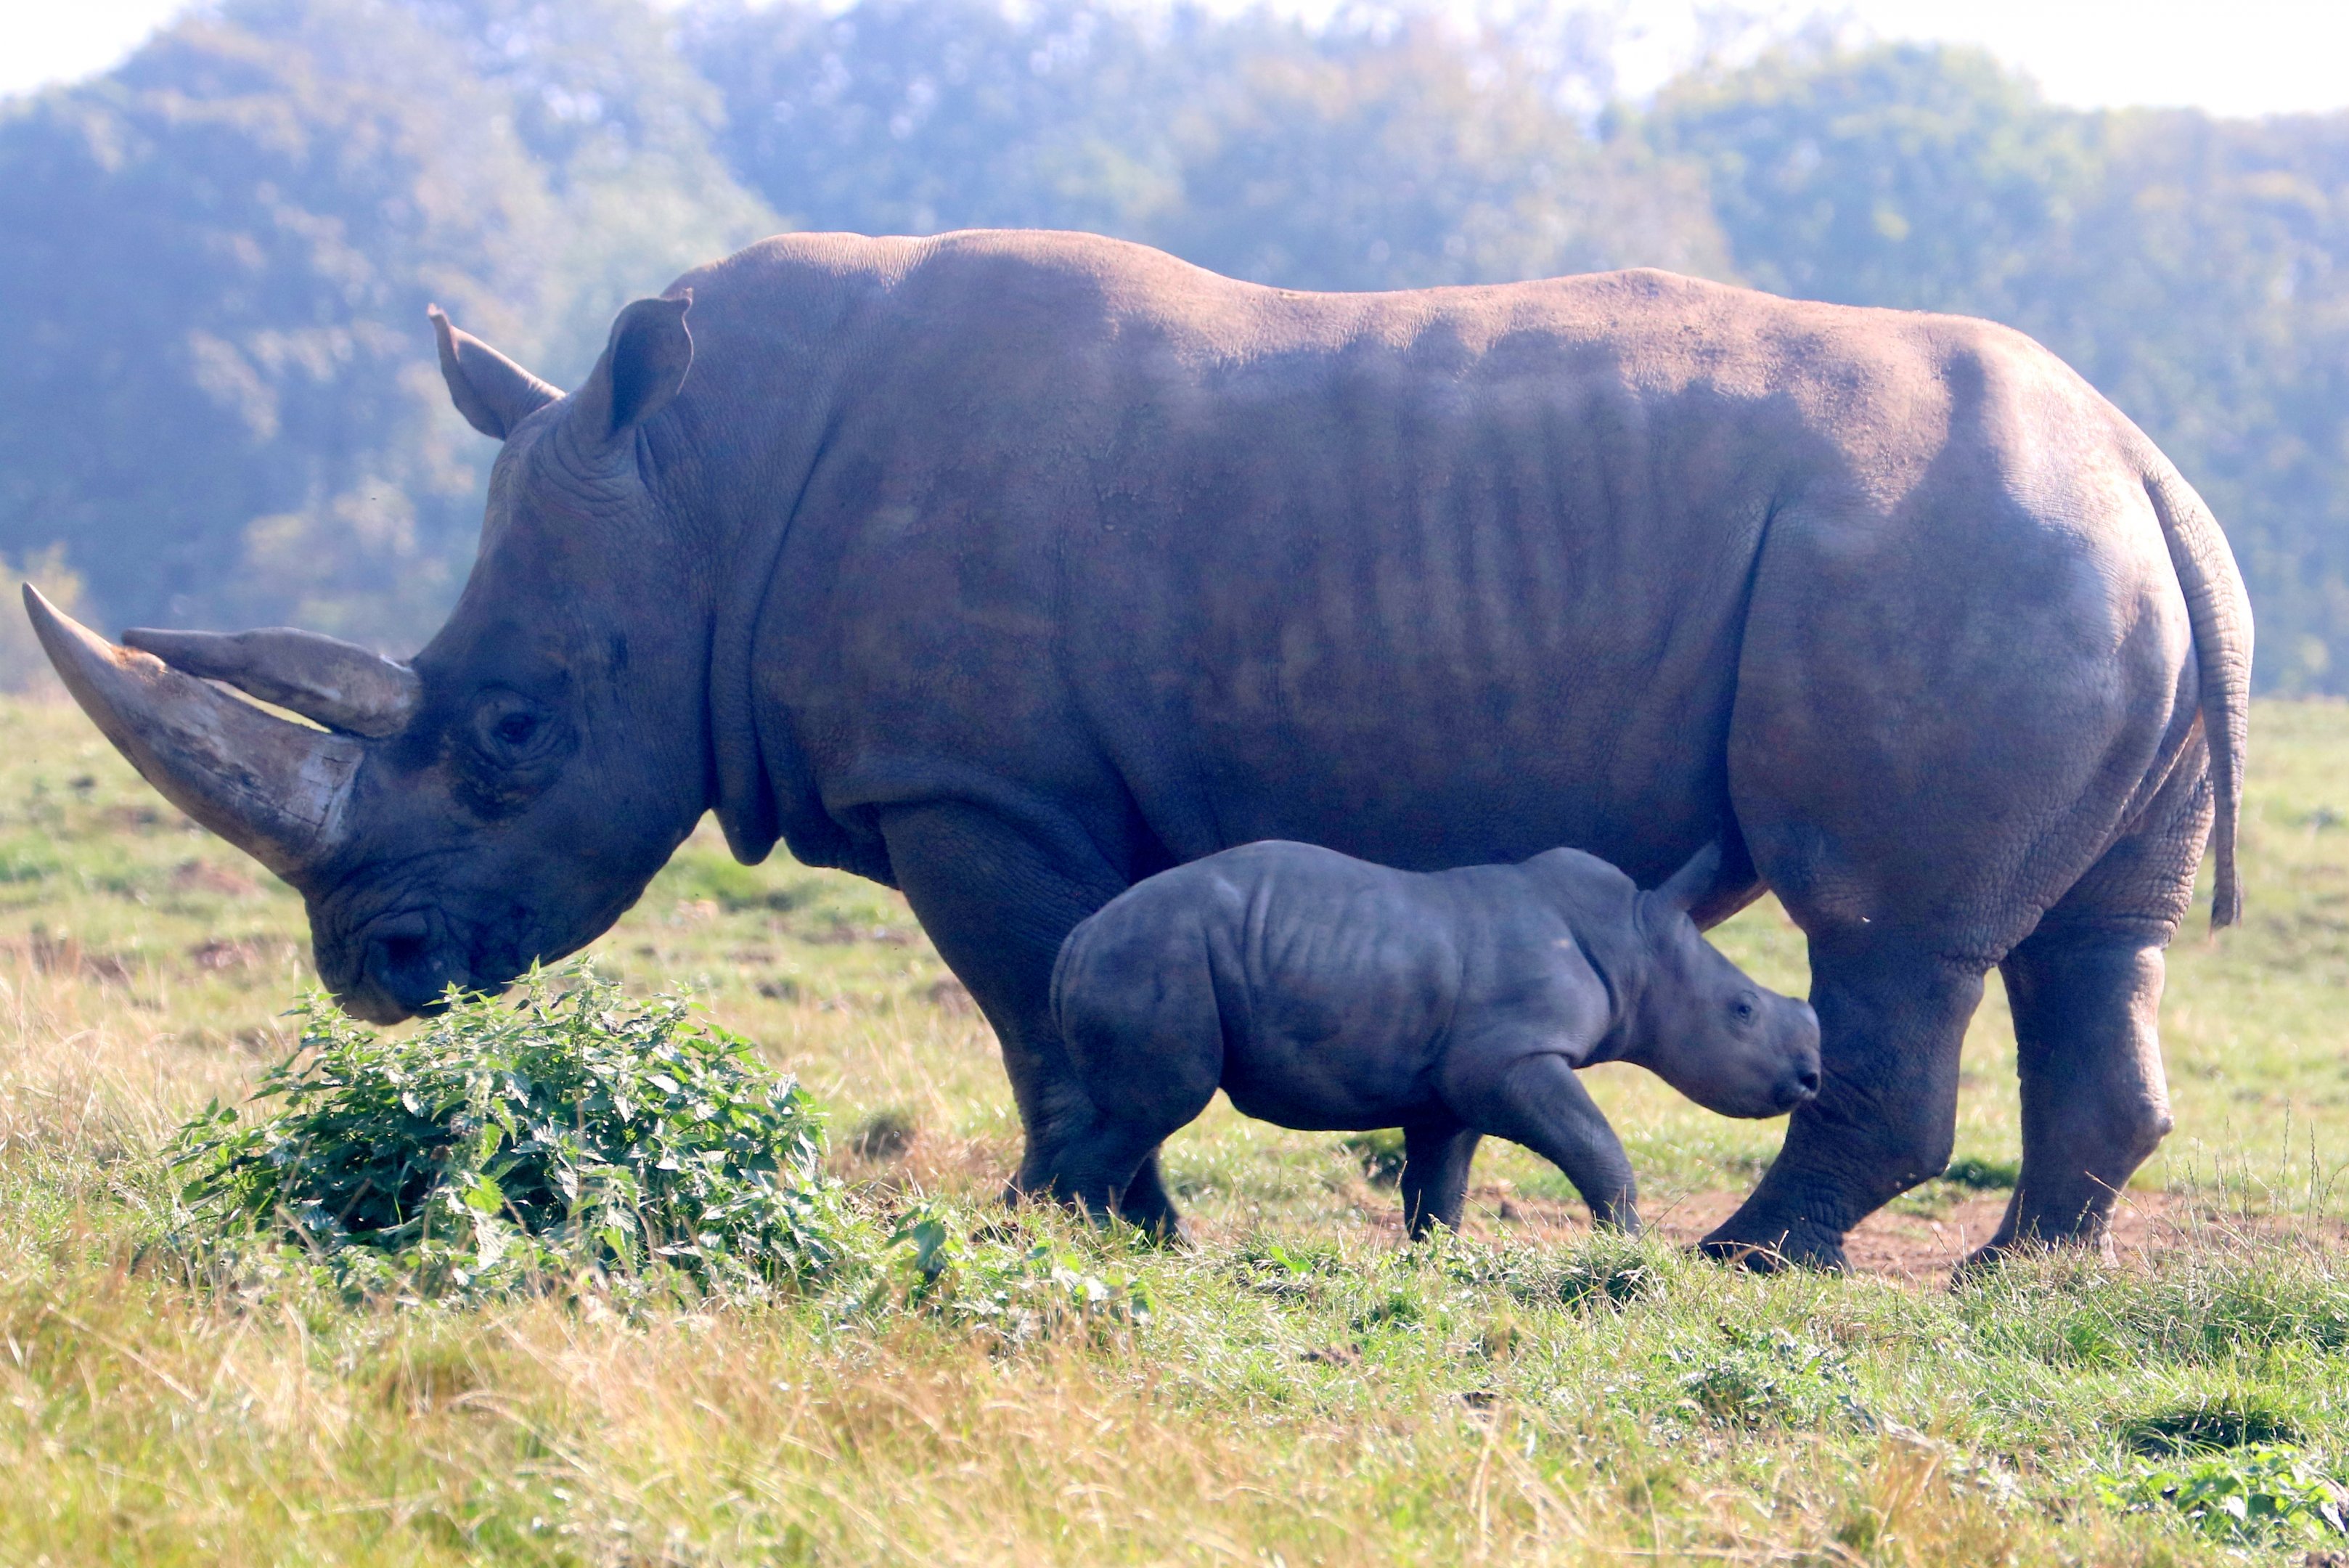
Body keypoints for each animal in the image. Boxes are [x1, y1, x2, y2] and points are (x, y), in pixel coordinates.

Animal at [1052, 838, 1823, 1236]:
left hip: (1148, 953)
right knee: (1153, 1112)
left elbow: (1439, 1181)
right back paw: (1090, 1241)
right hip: (1158, 953)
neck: (1634, 941)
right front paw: (1627, 1250)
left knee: (1116, 1112)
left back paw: (1054, 1233)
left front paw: (1437, 1261)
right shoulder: (1508, 1057)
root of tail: (1076, 939)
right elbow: (1596, 1144)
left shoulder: (1453, 1084)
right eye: (1742, 1010)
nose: (1812, 1079)